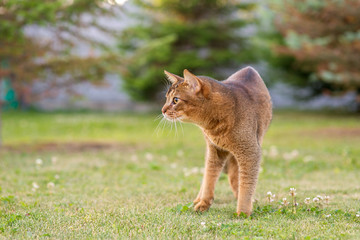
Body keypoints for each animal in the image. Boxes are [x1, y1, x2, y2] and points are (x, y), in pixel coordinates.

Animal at [162, 66, 272, 216]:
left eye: (175, 100)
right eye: (166, 98)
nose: (162, 110)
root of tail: (248, 68)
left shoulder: (250, 152)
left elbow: (246, 184)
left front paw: (243, 212)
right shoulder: (215, 150)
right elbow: (209, 177)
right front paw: (203, 203)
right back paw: (198, 199)